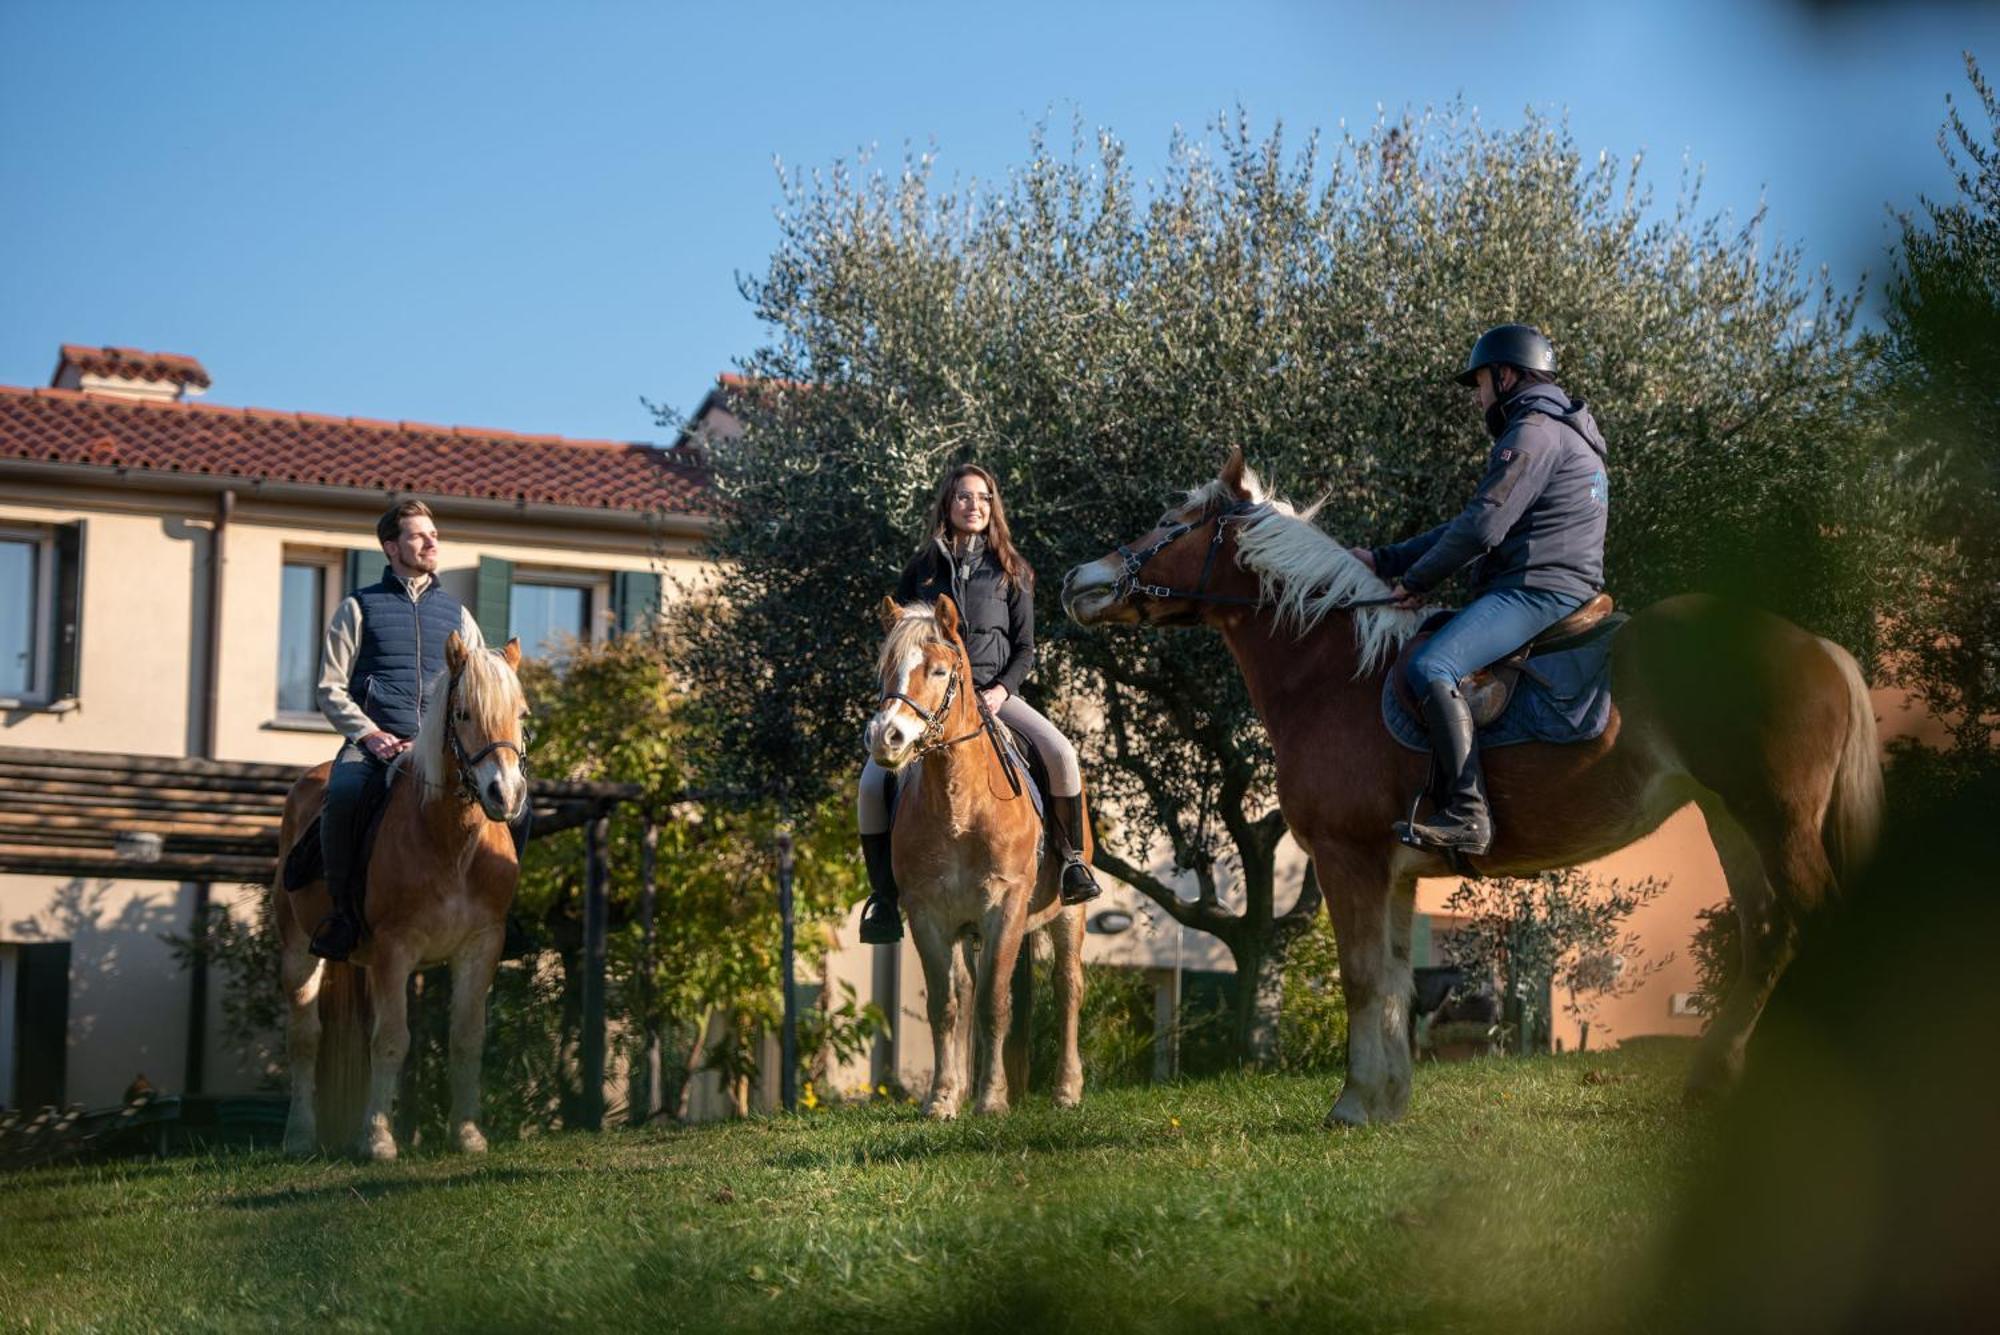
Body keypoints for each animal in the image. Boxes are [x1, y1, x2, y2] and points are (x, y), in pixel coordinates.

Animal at [278, 635, 540, 1159]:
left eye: (521, 714)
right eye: (462, 713)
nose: (505, 794)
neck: (451, 842)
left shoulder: (481, 945)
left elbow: (466, 1038)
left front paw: (467, 1134)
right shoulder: (395, 948)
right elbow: (391, 1041)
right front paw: (378, 1140)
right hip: (298, 950)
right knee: (304, 1038)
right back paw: (299, 1135)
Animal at [864, 595, 1088, 1119]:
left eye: (940, 671)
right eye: (886, 668)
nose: (885, 737)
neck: (960, 807)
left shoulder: (1003, 908)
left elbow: (993, 1001)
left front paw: (991, 1100)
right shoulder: (926, 914)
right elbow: (947, 1004)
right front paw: (943, 1100)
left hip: (1068, 913)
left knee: (1068, 986)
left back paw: (1067, 1090)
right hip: (966, 930)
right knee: (965, 989)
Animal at [1072, 451, 1880, 1127]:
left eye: (1173, 523)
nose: (1080, 582)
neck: (1336, 671)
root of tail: (1820, 649)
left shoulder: (1346, 858)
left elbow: (1361, 977)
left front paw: (1354, 1103)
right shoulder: (1395, 875)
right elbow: (1395, 980)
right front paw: (1388, 1100)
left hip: (1773, 819)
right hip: (1730, 820)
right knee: (1769, 933)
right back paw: (1713, 1081)